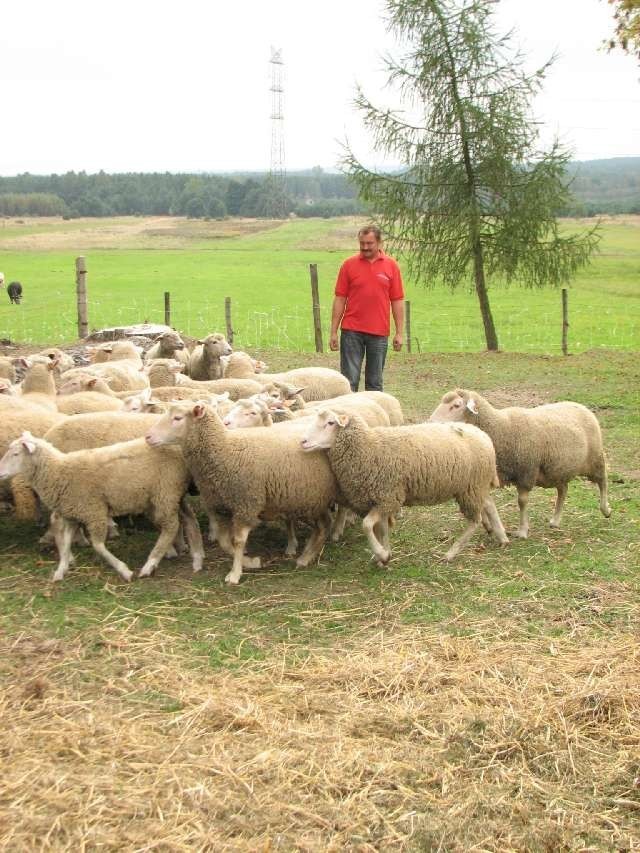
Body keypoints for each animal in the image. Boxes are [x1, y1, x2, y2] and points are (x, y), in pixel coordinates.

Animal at [0, 432, 202, 580]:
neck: (59, 472)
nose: (0, 472)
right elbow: (65, 545)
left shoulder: (94, 511)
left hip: (165, 493)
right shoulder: (71, 514)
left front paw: (124, 570)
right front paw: (61, 570)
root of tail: (177, 447)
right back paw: (195, 556)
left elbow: (98, 545)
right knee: (188, 519)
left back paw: (150, 564)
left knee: (171, 526)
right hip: (170, 495)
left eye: (16, 454)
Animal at [302, 412, 510, 564]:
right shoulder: (381, 499)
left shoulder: (388, 496)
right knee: (489, 505)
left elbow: (367, 525)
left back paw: (451, 553)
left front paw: (381, 554)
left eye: (330, 422)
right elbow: (382, 529)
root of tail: (484, 436)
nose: (302, 441)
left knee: (475, 520)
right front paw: (384, 555)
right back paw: (502, 537)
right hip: (474, 486)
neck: (369, 447)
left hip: (471, 488)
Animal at [430, 390, 608, 536]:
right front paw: (489, 527)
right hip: (558, 468)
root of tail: (581, 406)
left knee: (602, 481)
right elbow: (485, 502)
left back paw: (606, 510)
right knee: (563, 490)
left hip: (595, 459)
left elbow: (522, 502)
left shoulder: (526, 472)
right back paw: (555, 521)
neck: (501, 427)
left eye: (456, 405)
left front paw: (522, 531)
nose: (431, 421)